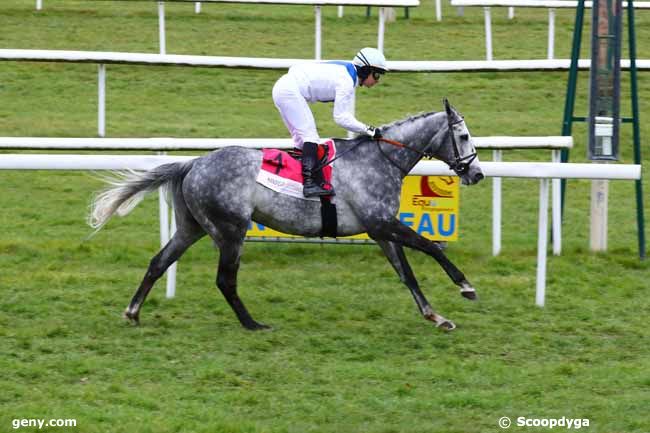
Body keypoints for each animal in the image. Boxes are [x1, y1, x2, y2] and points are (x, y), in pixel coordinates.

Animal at [90, 100, 480, 330]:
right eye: (462, 135)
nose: (476, 174)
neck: (379, 159)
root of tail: (192, 164)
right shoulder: (382, 222)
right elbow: (431, 246)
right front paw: (465, 286)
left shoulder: (380, 229)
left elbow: (407, 274)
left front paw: (435, 316)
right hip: (231, 230)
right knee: (224, 279)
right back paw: (252, 324)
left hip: (193, 227)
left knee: (159, 262)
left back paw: (133, 312)